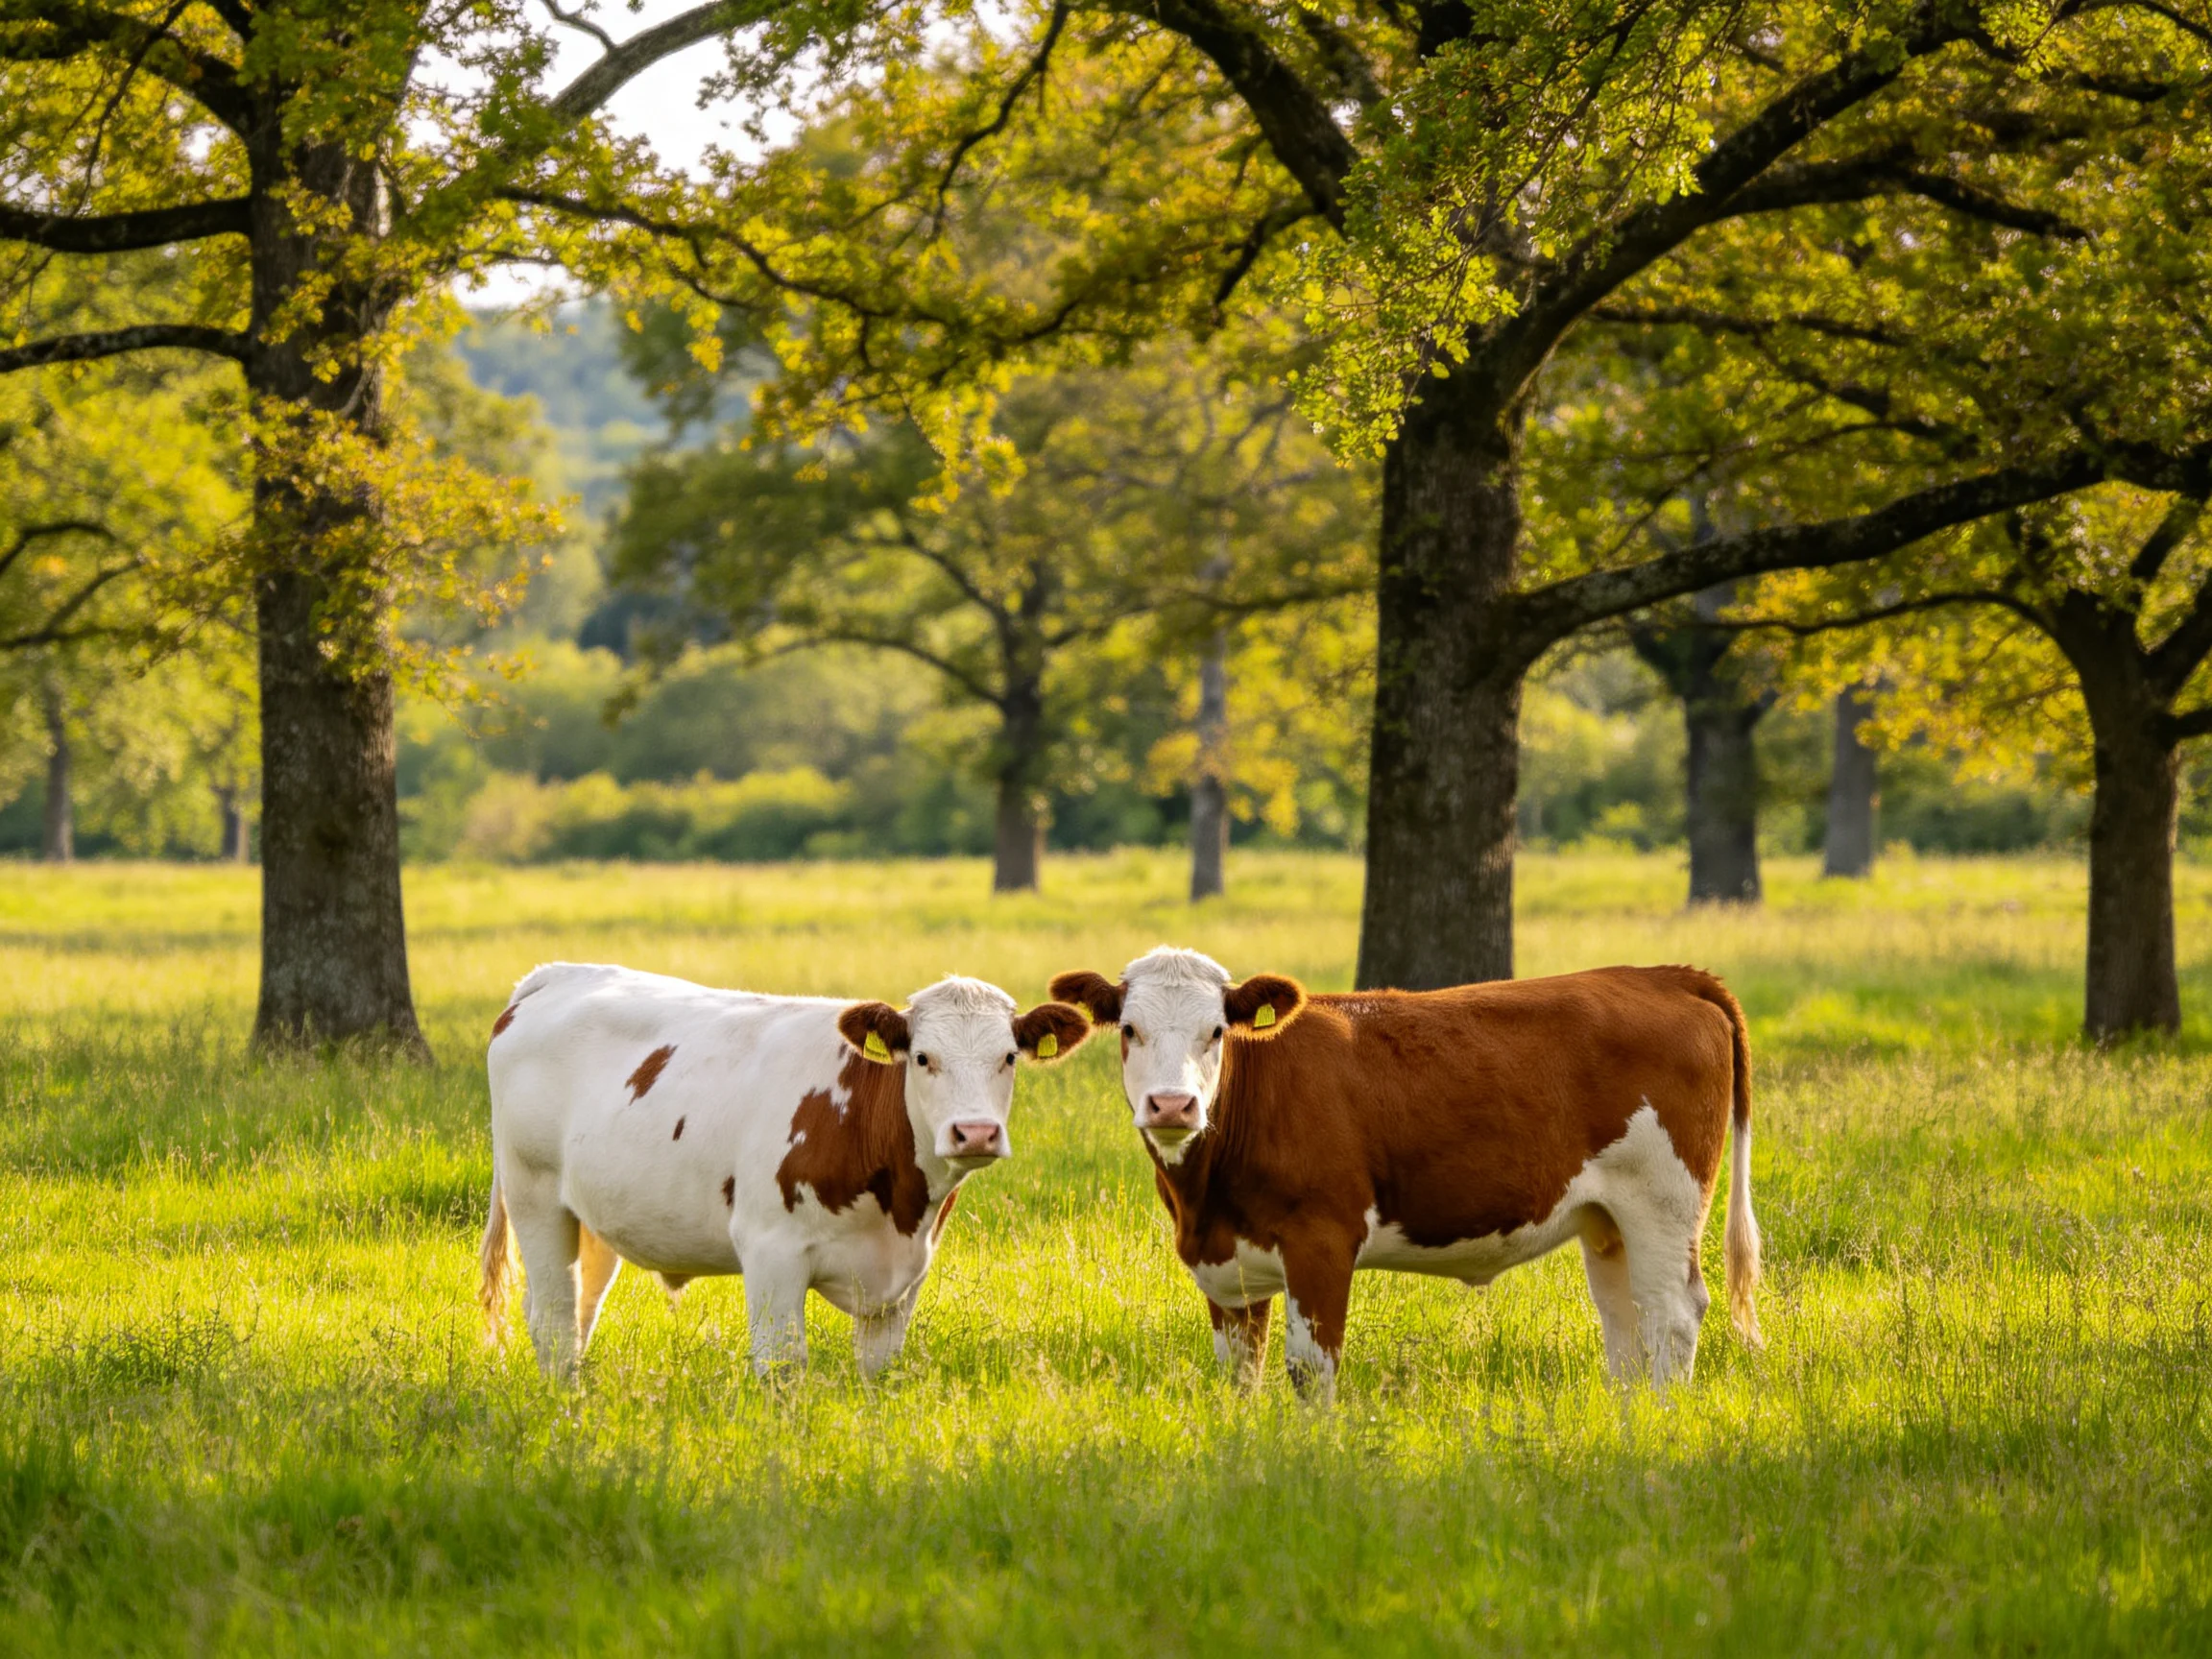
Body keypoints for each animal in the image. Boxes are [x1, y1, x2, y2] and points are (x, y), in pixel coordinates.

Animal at [479, 963, 1092, 1381]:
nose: (976, 1132)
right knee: (554, 1320)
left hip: (593, 1219)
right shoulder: (770, 1251)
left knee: (578, 1313)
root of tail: (559, 974)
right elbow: (783, 1366)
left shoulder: (905, 1278)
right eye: (922, 1058)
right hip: (535, 1197)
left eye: (1008, 1058)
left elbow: (878, 1370)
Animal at [1048, 947, 1761, 1403]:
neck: (1204, 1200)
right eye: (1129, 1030)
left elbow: (1310, 1371)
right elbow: (1240, 1377)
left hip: (1663, 1201)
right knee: (1626, 1323)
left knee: (1672, 1315)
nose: (1172, 1105)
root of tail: (1663, 976)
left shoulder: (1321, 1241)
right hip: (1607, 1219)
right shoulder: (1226, 1268)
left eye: (1217, 1031)